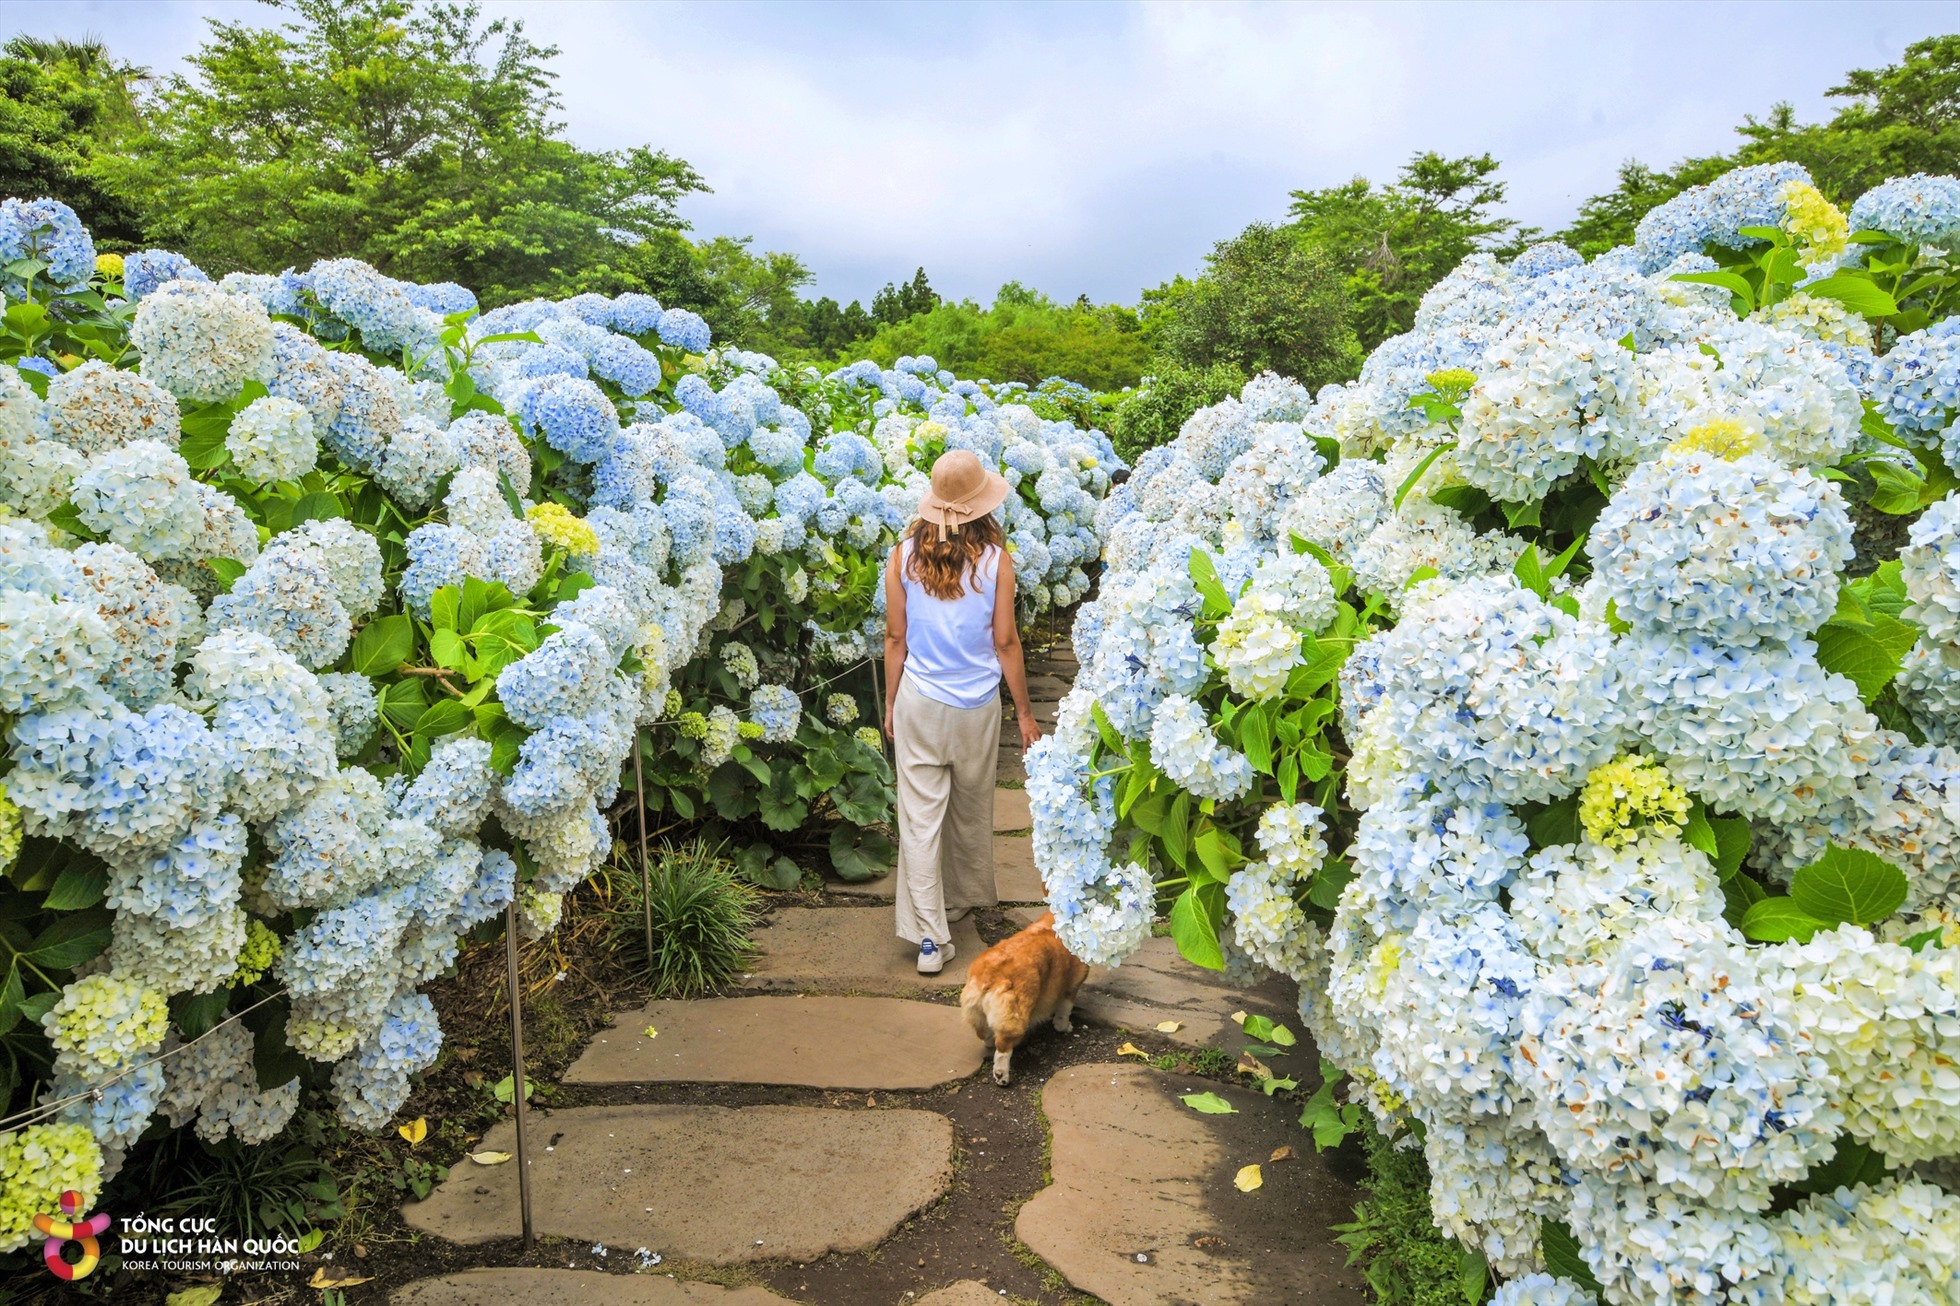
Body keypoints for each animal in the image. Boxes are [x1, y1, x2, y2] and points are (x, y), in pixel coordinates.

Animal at [960, 905, 1089, 1074]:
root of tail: (989, 976)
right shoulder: (1071, 988)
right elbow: (1064, 1012)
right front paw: (1064, 1027)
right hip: (1016, 1018)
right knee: (1003, 1047)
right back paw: (1001, 1074)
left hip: (975, 1012)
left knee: (984, 1033)